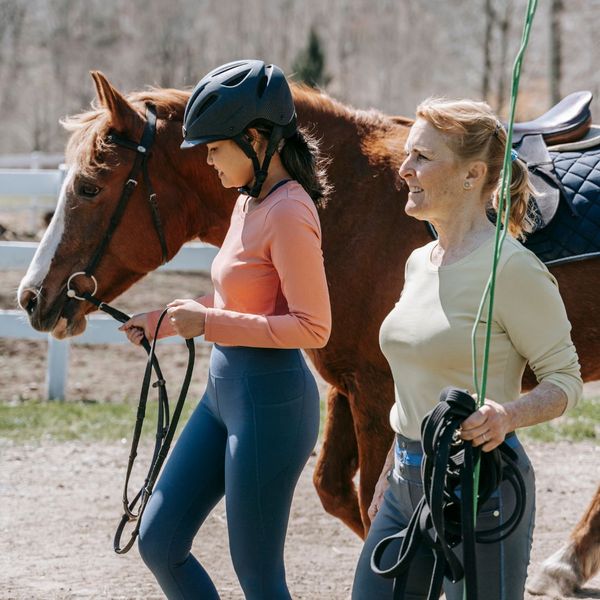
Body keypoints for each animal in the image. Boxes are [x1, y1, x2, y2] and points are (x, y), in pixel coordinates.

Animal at [18, 71, 600, 592]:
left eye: (89, 186)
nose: (31, 297)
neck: (357, 205)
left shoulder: (378, 391)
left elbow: (370, 504)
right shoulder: (352, 385)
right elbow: (335, 491)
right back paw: (565, 565)